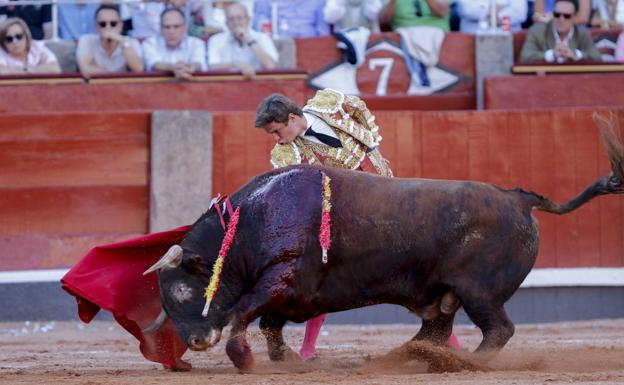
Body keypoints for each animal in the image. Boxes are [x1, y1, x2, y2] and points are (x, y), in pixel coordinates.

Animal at [143, 115, 624, 370]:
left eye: (183, 290)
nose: (196, 341)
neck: (251, 220)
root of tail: (517, 198)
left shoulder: (281, 276)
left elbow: (245, 311)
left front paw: (243, 358)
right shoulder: (288, 292)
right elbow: (270, 324)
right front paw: (286, 361)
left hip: (479, 291)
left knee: (497, 329)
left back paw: (468, 363)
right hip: (445, 294)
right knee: (435, 331)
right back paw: (401, 359)